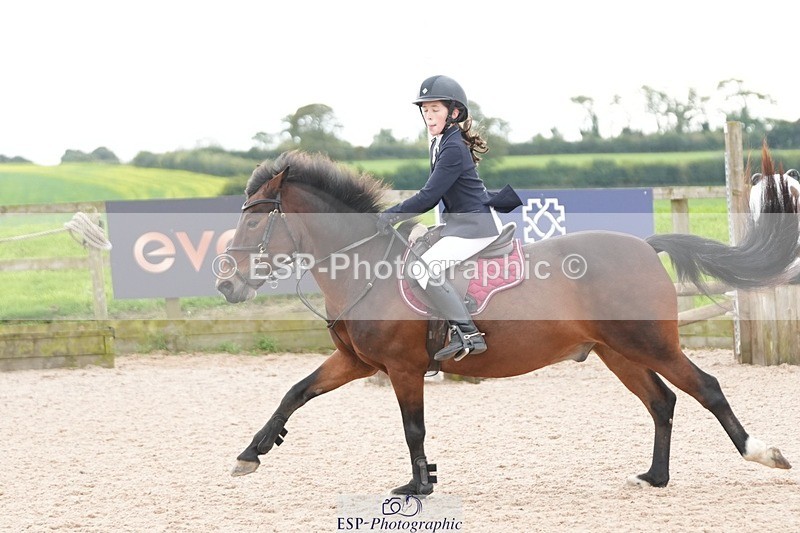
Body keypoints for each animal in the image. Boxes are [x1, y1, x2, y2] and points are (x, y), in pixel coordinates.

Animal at [216, 149, 798, 495]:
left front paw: (419, 485)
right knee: (663, 401)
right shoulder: (356, 363)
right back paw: (655, 477)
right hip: (617, 351)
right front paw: (250, 454)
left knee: (707, 387)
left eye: (255, 220)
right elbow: (294, 393)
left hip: (650, 344)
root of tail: (644, 245)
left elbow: (412, 427)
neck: (366, 268)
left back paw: (763, 454)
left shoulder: (403, 368)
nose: (227, 285)